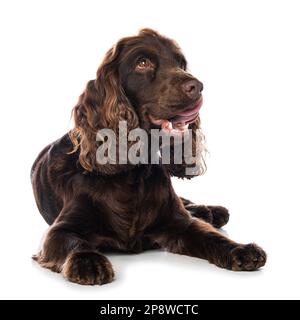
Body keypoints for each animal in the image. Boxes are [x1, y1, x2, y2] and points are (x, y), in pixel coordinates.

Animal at [30, 28, 266, 284]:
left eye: (181, 63)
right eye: (142, 63)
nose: (197, 86)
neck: (131, 173)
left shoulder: (180, 223)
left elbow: (211, 236)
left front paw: (240, 249)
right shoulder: (59, 230)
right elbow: (73, 242)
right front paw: (88, 261)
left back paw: (210, 211)